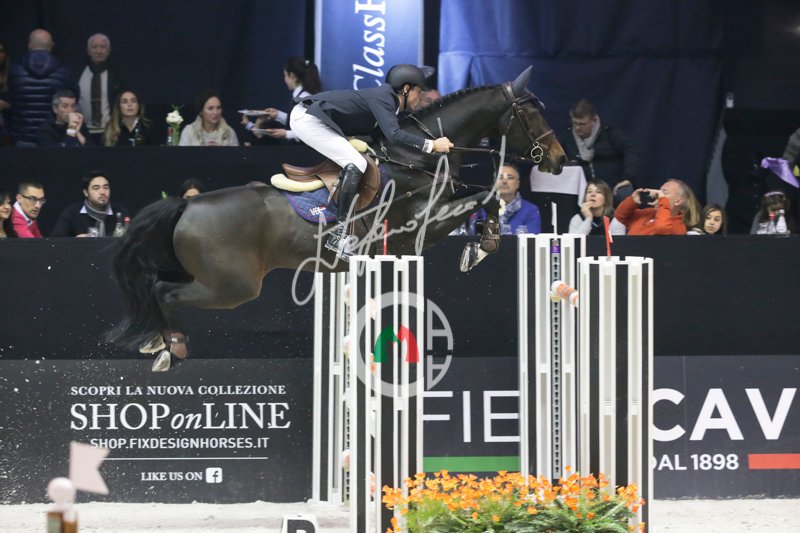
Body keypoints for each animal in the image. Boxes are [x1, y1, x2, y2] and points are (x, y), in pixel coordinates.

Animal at [109, 66, 566, 370]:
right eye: (531, 113)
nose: (560, 161)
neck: (415, 156)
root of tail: (187, 205)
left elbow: (483, 195)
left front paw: (483, 242)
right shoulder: (420, 226)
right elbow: (485, 195)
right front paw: (483, 245)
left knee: (158, 289)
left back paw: (156, 345)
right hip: (232, 286)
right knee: (166, 293)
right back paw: (171, 348)